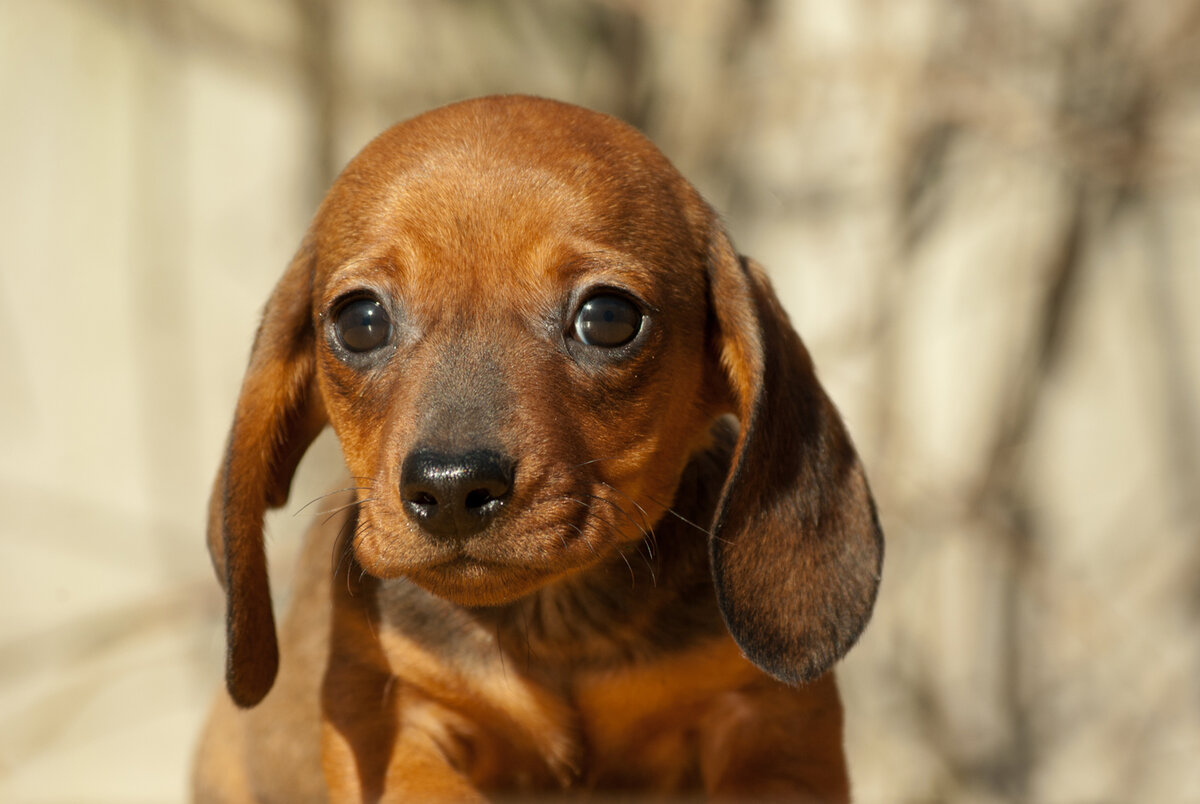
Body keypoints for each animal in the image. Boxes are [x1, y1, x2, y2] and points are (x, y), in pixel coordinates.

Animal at [194, 96, 883, 804]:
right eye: (361, 321)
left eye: (607, 317)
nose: (450, 487)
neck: (554, 629)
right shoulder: (392, 712)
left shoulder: (772, 724)